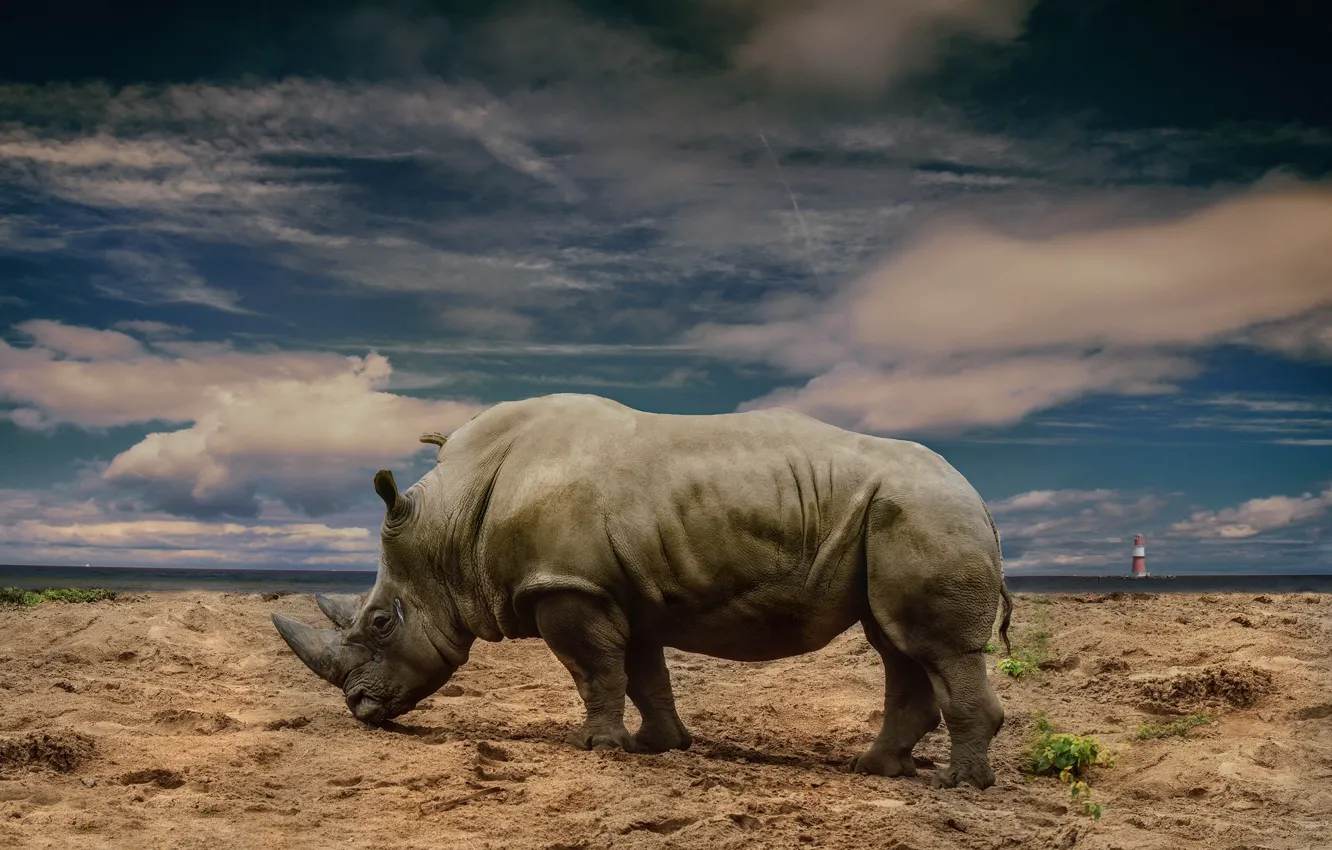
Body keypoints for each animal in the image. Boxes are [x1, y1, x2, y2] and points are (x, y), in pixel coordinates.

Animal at [273, 393, 1012, 789]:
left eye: (380, 624)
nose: (360, 709)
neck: (449, 527)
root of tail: (978, 493)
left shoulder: (568, 586)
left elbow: (595, 670)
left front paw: (598, 748)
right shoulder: (619, 590)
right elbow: (642, 673)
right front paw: (661, 747)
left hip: (924, 510)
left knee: (933, 648)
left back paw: (960, 785)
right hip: (901, 514)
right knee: (896, 644)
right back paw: (875, 769)